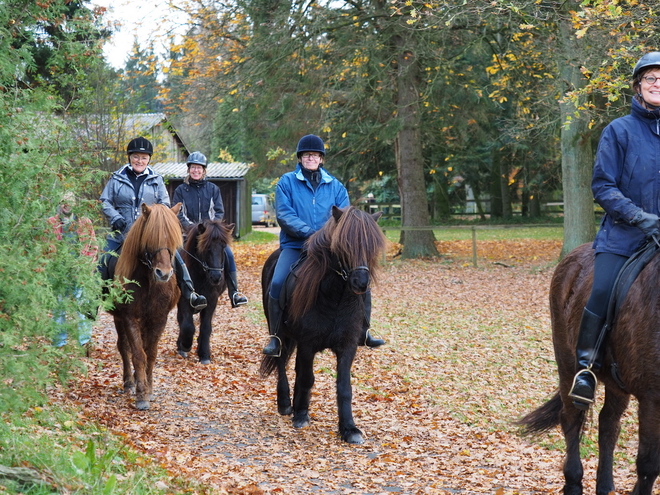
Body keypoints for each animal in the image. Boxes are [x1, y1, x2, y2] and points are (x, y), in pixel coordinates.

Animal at [109, 203, 183, 412]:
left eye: (173, 239)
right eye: (150, 239)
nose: (163, 273)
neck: (149, 282)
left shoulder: (158, 319)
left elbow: (150, 353)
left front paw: (148, 389)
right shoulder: (129, 317)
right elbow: (138, 354)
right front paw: (141, 395)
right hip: (119, 318)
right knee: (124, 347)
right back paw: (129, 382)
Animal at [260, 205, 386, 446]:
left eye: (371, 246)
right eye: (344, 245)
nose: (361, 283)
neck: (335, 297)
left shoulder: (347, 346)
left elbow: (344, 387)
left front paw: (349, 428)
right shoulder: (308, 344)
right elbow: (308, 378)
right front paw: (301, 415)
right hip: (279, 334)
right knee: (281, 362)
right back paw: (286, 404)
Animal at [520, 243, 660, 495]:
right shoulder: (652, 399)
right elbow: (648, 465)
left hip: (616, 383)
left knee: (608, 424)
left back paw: (605, 486)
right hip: (567, 364)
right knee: (571, 419)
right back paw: (573, 483)